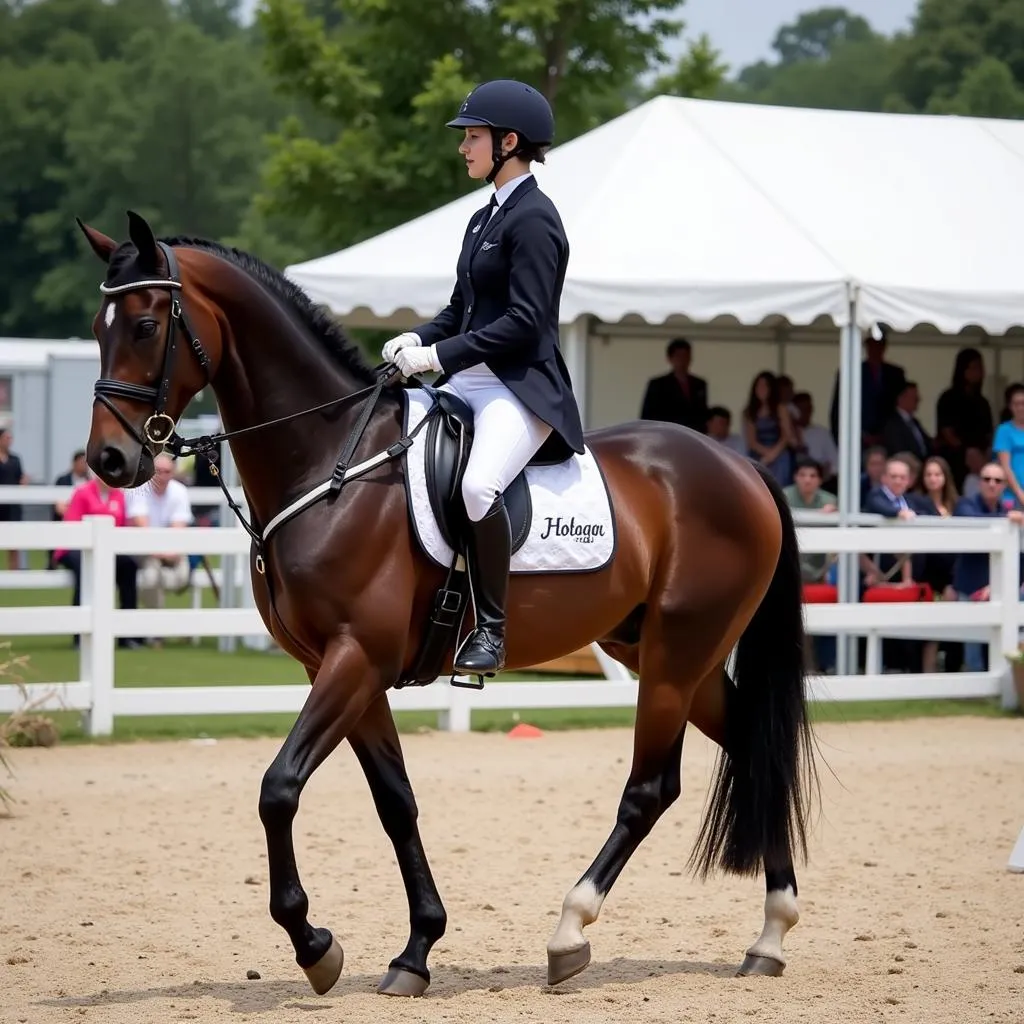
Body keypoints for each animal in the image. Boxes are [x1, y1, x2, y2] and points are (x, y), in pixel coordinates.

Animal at [75, 209, 819, 999]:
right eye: (97, 325)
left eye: (146, 325)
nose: (110, 461)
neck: (328, 458)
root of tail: (742, 466)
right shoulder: (343, 670)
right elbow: (395, 802)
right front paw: (414, 950)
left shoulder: (354, 658)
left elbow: (278, 788)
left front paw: (314, 944)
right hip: (666, 651)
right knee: (754, 750)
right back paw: (769, 935)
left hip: (679, 654)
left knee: (650, 788)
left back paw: (571, 932)